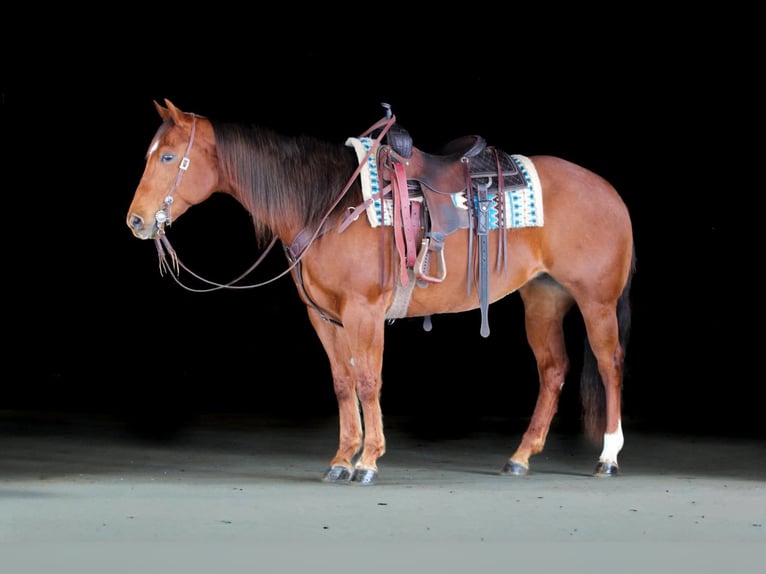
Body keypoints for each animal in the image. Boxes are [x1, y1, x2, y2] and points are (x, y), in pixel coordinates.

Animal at [126, 99, 636, 485]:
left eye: (167, 158)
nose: (136, 220)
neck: (329, 205)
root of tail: (608, 191)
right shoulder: (324, 316)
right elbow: (343, 381)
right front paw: (341, 459)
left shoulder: (364, 311)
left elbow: (369, 380)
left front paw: (368, 460)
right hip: (543, 298)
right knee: (553, 371)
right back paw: (520, 457)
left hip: (596, 301)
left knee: (609, 364)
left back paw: (609, 456)